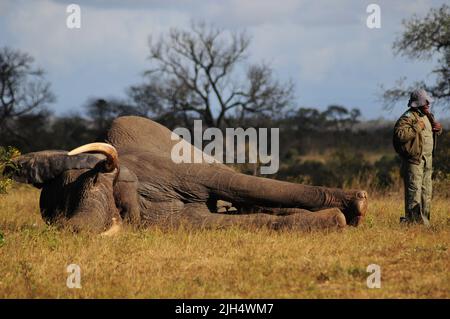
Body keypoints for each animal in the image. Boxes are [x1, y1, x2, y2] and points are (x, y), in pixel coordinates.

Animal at [5, 115, 368, 235]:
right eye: (54, 213)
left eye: (99, 181)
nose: (73, 230)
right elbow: (227, 222)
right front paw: (336, 219)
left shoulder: (172, 169)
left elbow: (239, 184)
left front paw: (355, 207)